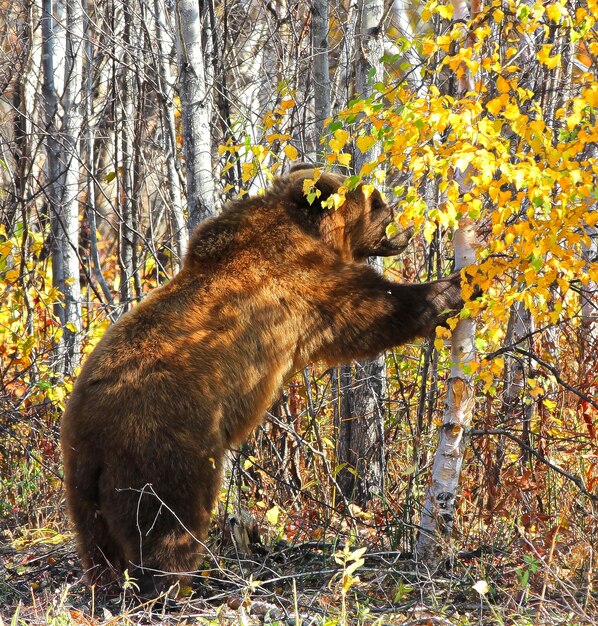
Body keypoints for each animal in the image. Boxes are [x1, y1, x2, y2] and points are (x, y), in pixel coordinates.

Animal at [59, 166, 464, 596]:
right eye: (375, 201)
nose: (401, 218)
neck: (311, 233)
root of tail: (93, 431)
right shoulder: (303, 287)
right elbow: (373, 310)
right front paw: (457, 283)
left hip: (82, 481)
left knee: (97, 542)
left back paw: (107, 585)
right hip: (166, 446)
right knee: (168, 522)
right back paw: (174, 586)